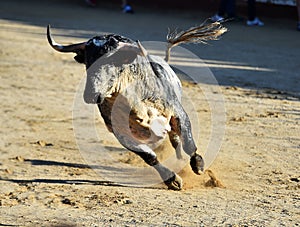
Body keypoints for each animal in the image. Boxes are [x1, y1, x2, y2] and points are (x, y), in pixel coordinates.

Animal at [46, 22, 225, 190]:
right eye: (87, 63)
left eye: (114, 62)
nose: (91, 94)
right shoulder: (121, 132)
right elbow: (149, 156)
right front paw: (172, 180)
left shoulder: (177, 112)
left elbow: (188, 143)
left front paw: (198, 165)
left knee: (176, 140)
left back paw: (182, 161)